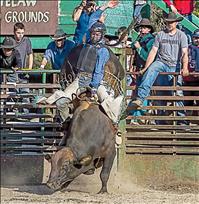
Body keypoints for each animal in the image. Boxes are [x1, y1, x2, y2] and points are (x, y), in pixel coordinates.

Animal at [45, 44, 124, 193]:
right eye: (52, 164)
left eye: (65, 167)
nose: (50, 184)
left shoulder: (110, 151)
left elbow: (104, 173)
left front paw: (103, 191)